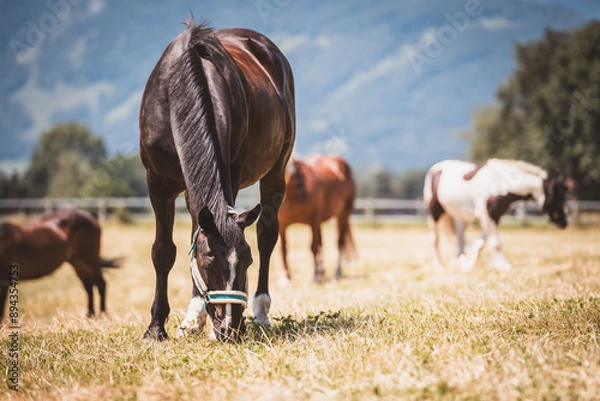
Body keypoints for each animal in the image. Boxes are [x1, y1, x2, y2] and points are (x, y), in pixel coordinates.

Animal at [141, 18, 300, 338]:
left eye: (247, 261)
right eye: (208, 260)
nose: (230, 327)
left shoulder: (231, 172)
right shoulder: (158, 183)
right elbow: (164, 251)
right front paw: (157, 328)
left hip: (276, 172)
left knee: (267, 235)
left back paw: (260, 311)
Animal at [278, 153, 356, 282]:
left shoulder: (313, 221)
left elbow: (313, 247)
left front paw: (315, 276)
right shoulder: (282, 225)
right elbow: (283, 249)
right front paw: (286, 277)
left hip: (343, 215)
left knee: (340, 242)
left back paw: (337, 272)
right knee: (321, 243)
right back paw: (322, 272)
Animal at [422, 158, 568, 270]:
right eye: (558, 198)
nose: (564, 223)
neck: (501, 183)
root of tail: (435, 169)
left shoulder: (495, 216)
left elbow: (482, 243)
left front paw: (470, 264)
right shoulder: (486, 216)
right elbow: (495, 243)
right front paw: (503, 265)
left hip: (461, 216)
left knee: (459, 237)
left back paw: (460, 261)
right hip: (434, 212)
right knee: (435, 239)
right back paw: (439, 265)